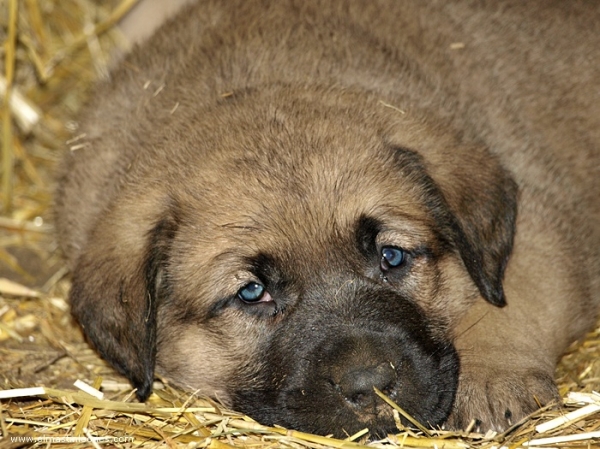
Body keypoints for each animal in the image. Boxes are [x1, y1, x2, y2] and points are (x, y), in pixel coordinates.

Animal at [54, 0, 596, 438]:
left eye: (392, 257)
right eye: (252, 292)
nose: (370, 386)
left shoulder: (542, 225)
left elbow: (511, 300)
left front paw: (490, 376)